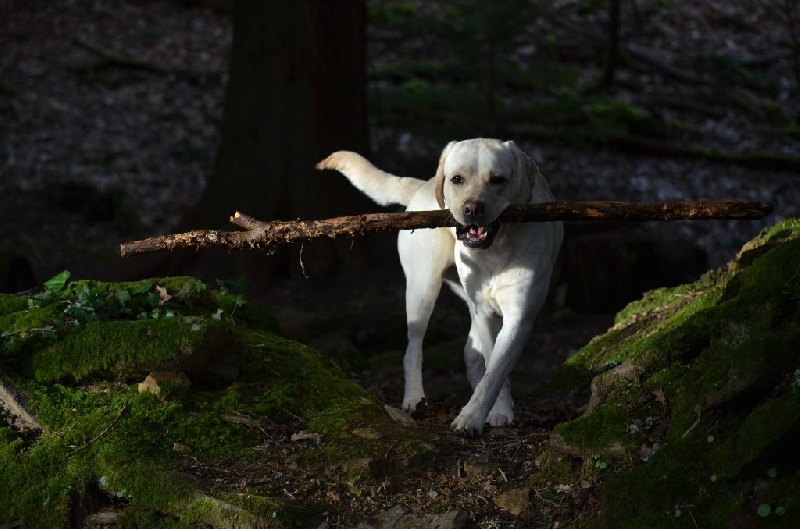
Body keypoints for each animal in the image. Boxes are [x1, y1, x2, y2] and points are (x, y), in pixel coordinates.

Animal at [318, 138, 564, 436]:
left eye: (498, 179)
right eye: (457, 179)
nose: (472, 209)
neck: (494, 251)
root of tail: (423, 185)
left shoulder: (518, 317)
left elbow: (494, 371)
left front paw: (478, 414)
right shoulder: (486, 314)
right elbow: (494, 366)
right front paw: (494, 412)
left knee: (471, 353)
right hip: (422, 288)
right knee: (413, 348)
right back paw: (414, 398)